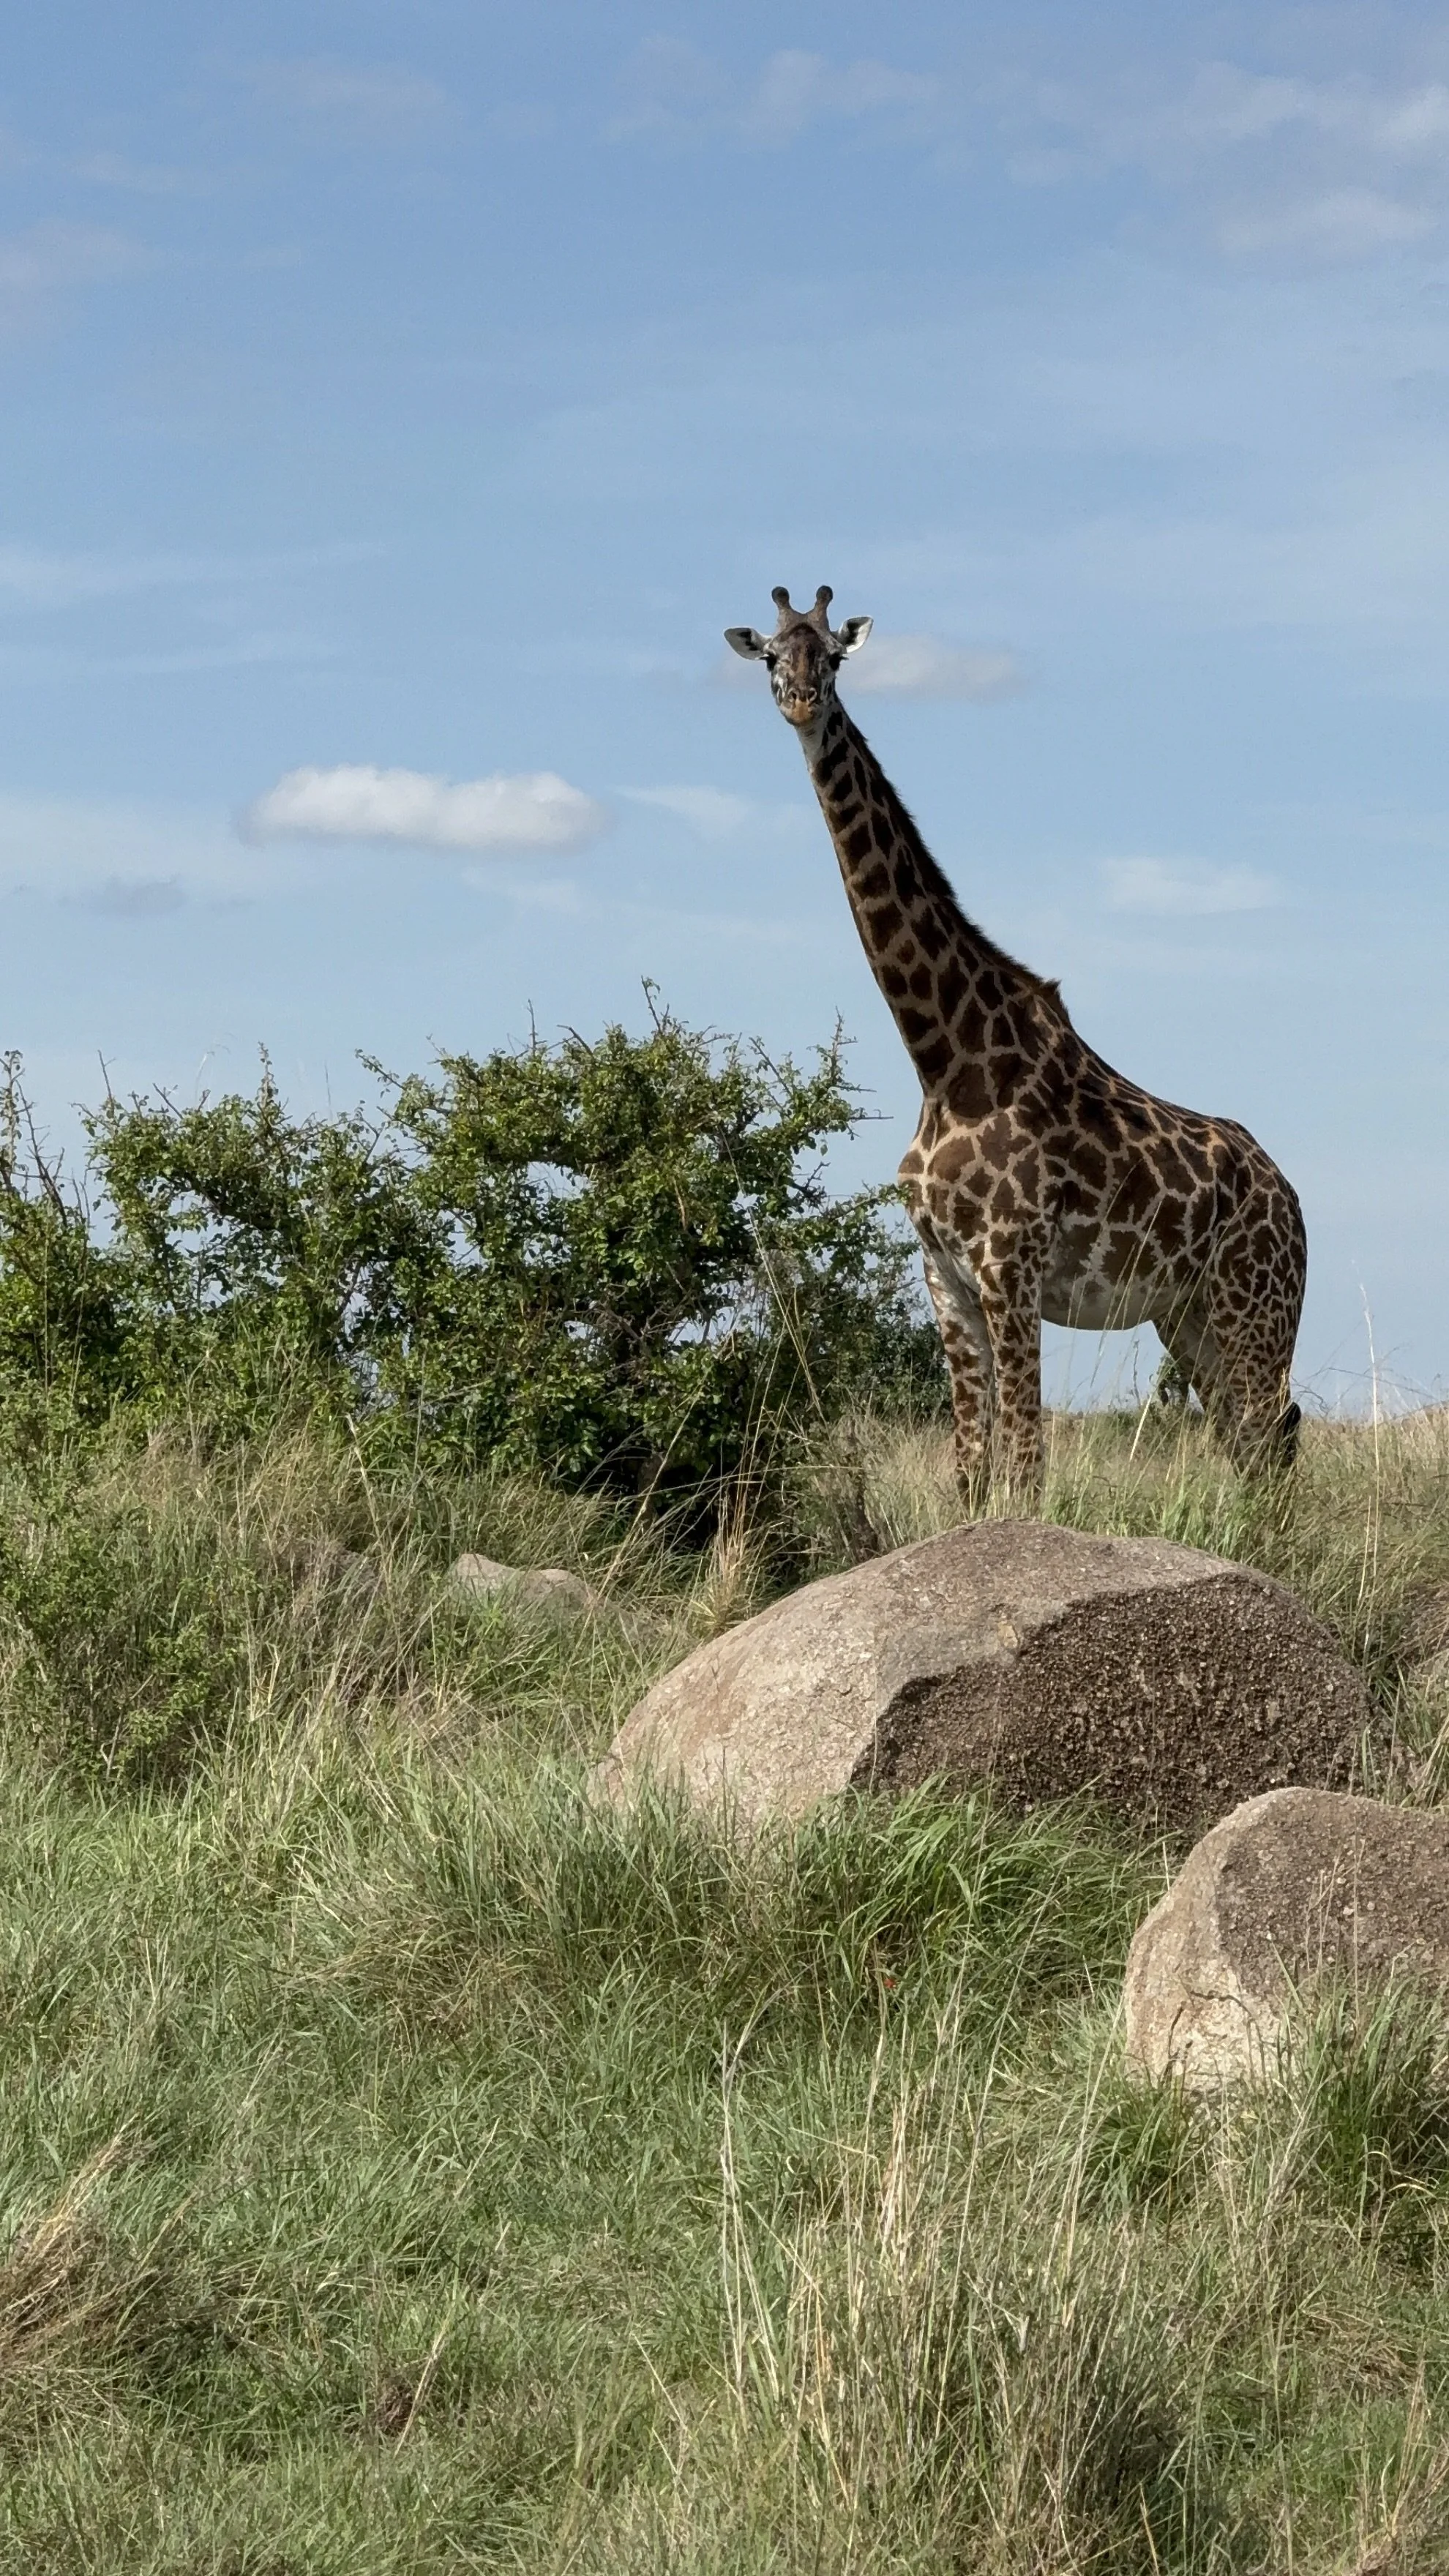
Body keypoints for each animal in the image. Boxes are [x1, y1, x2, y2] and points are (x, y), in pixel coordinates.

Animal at [725, 584, 1306, 1506]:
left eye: (837, 657)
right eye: (775, 656)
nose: (804, 704)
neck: (943, 1056)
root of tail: (1295, 1204)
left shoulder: (1012, 1267)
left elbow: (1026, 1469)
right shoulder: (946, 1280)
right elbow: (970, 1472)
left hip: (1255, 1304)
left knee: (1272, 1443)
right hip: (1188, 1317)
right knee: (1254, 1451)